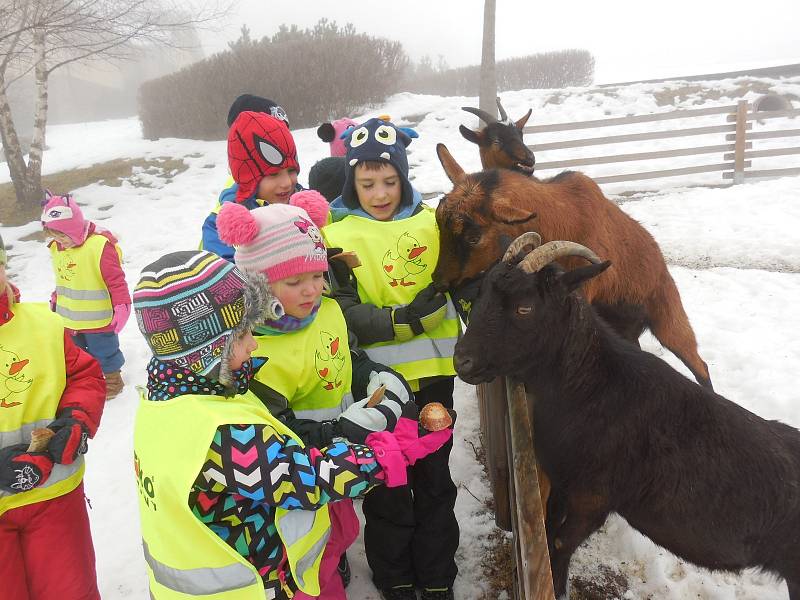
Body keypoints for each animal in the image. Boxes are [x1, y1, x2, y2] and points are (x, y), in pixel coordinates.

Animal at [432, 145, 712, 390]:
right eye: (439, 227)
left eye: (473, 237)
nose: (439, 281)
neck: (561, 217)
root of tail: (660, 264)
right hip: (629, 329)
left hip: (670, 320)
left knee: (701, 366)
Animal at [456, 233, 800, 600]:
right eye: (481, 295)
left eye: (525, 308)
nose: (462, 361)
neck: (592, 384)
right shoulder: (563, 482)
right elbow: (548, 534)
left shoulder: (592, 498)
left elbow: (560, 544)